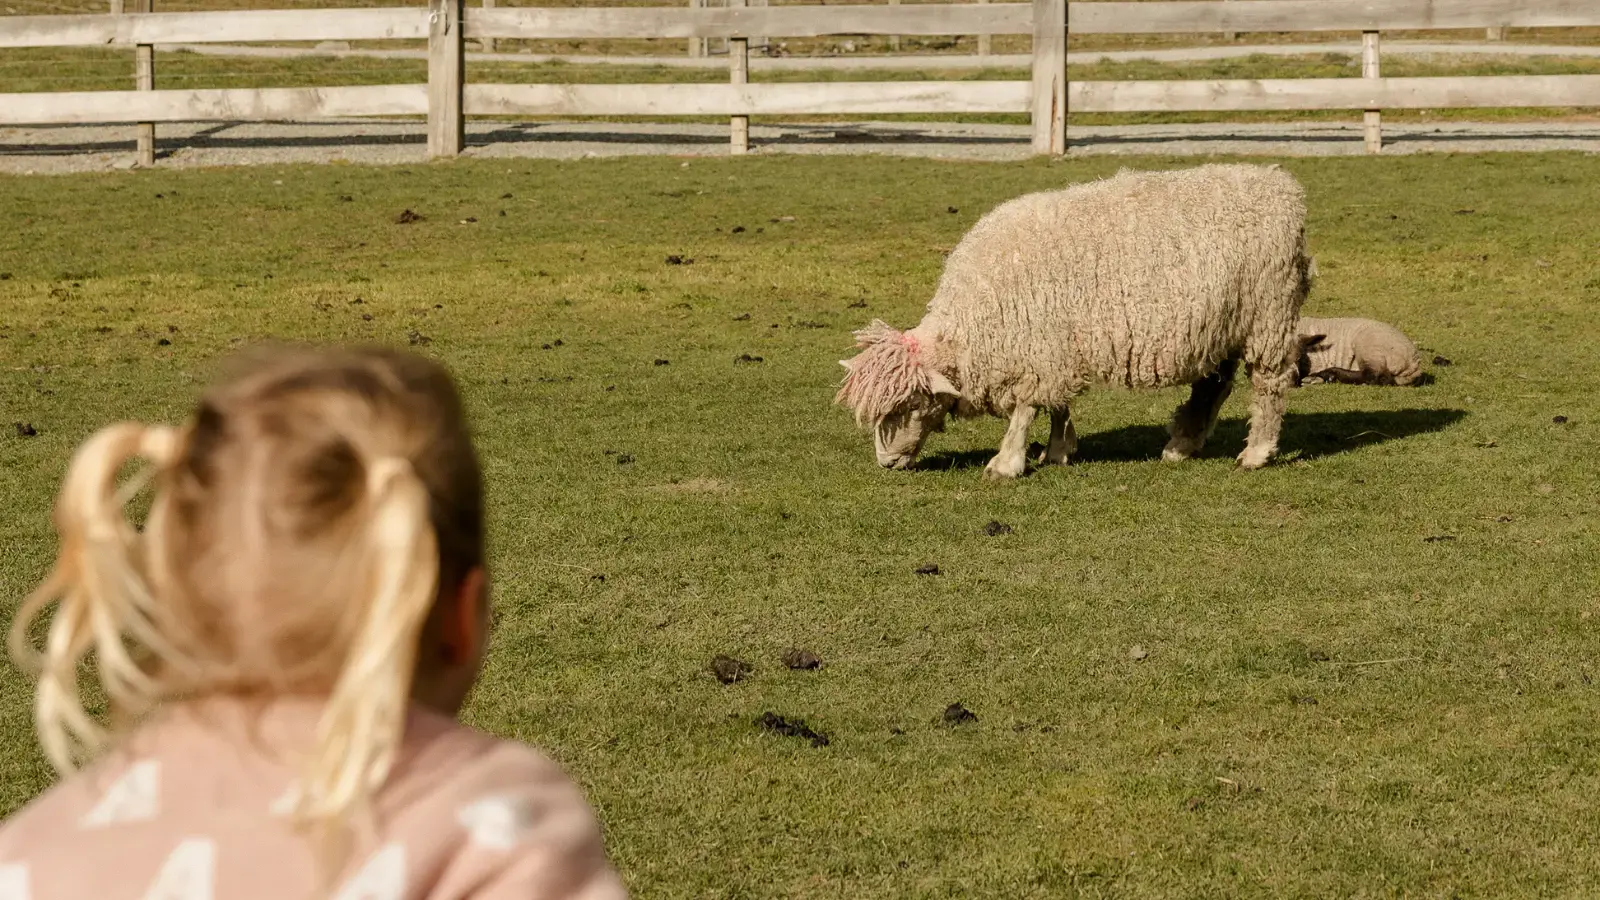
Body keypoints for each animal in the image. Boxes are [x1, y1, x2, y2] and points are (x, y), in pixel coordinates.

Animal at [835, 163, 1313, 478]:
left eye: (910, 405)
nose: (886, 463)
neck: (970, 327)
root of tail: (1281, 186)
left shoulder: (1036, 350)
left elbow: (1025, 409)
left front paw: (1006, 463)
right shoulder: (1054, 349)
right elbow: (1058, 403)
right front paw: (1060, 449)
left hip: (1268, 313)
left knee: (1269, 384)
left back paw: (1257, 452)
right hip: (1222, 323)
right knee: (1212, 386)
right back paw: (1182, 445)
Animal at [1296, 316, 1424, 386]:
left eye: (1298, 356)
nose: (1293, 380)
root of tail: (1414, 363)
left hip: (1370, 347)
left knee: (1375, 376)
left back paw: (1328, 374)